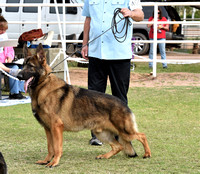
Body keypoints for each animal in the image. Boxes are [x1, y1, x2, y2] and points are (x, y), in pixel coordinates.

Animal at [17, 43, 152, 167]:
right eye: (23, 65)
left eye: (31, 66)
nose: (18, 76)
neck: (43, 85)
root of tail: (124, 104)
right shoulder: (48, 128)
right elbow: (50, 148)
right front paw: (46, 160)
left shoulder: (56, 127)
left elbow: (57, 148)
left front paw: (54, 162)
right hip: (101, 133)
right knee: (118, 146)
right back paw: (104, 156)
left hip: (125, 131)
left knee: (142, 136)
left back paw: (147, 154)